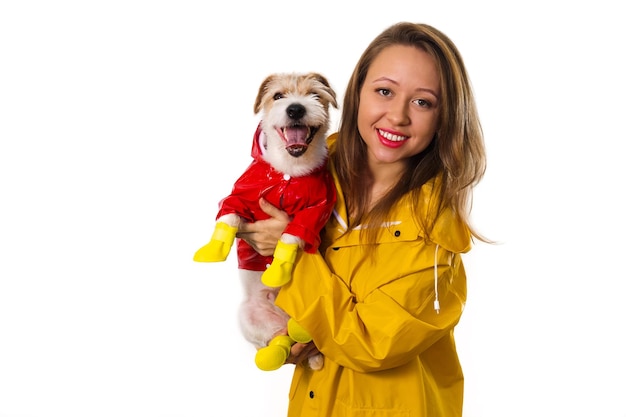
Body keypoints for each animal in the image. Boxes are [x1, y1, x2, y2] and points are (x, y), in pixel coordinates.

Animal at [194, 71, 336, 370]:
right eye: (278, 96)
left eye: (315, 94)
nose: (296, 109)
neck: (289, 171)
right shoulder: (240, 195)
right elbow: (229, 216)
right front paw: (214, 248)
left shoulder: (315, 211)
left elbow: (292, 234)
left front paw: (278, 269)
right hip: (249, 316)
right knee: (278, 339)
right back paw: (277, 351)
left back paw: (303, 332)